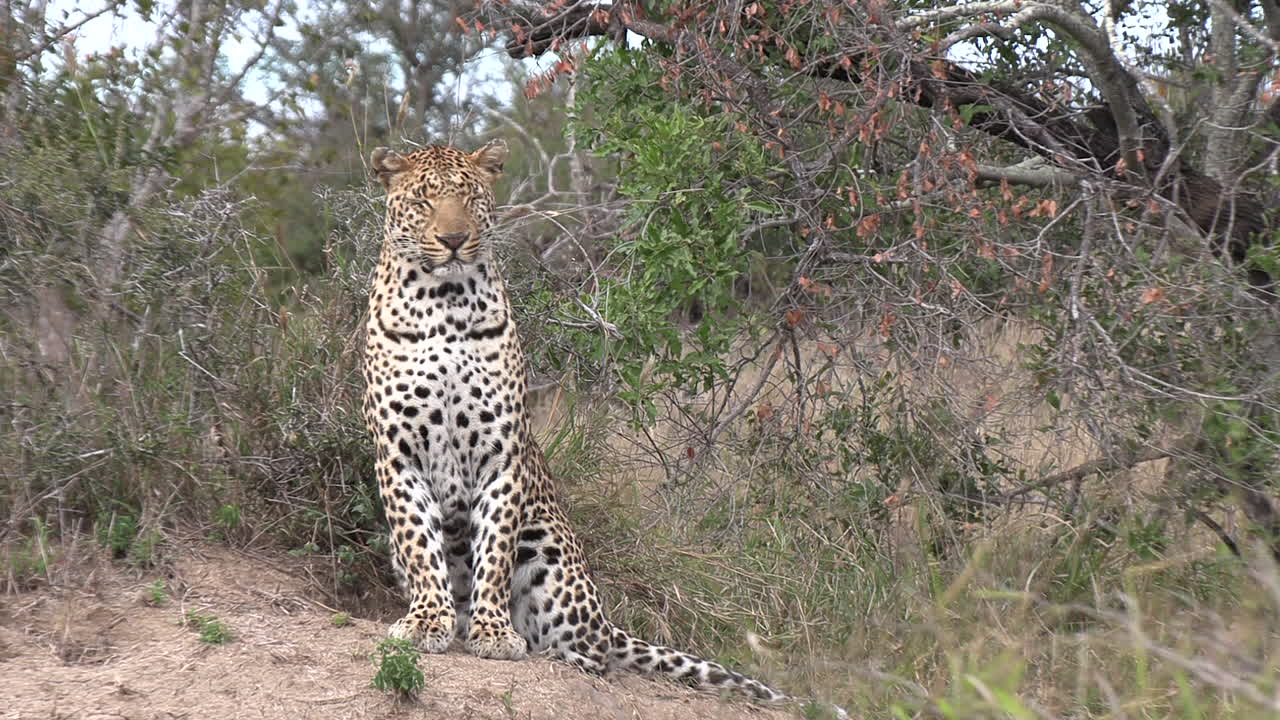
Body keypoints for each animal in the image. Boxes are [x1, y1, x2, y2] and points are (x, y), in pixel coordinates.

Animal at [361, 139, 788, 703]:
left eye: (470, 197)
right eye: (423, 201)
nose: (454, 239)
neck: (443, 303)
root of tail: (608, 623)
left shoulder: (502, 453)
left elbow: (494, 552)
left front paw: (494, 632)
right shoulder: (399, 452)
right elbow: (419, 544)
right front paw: (428, 621)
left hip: (551, 552)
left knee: (590, 654)